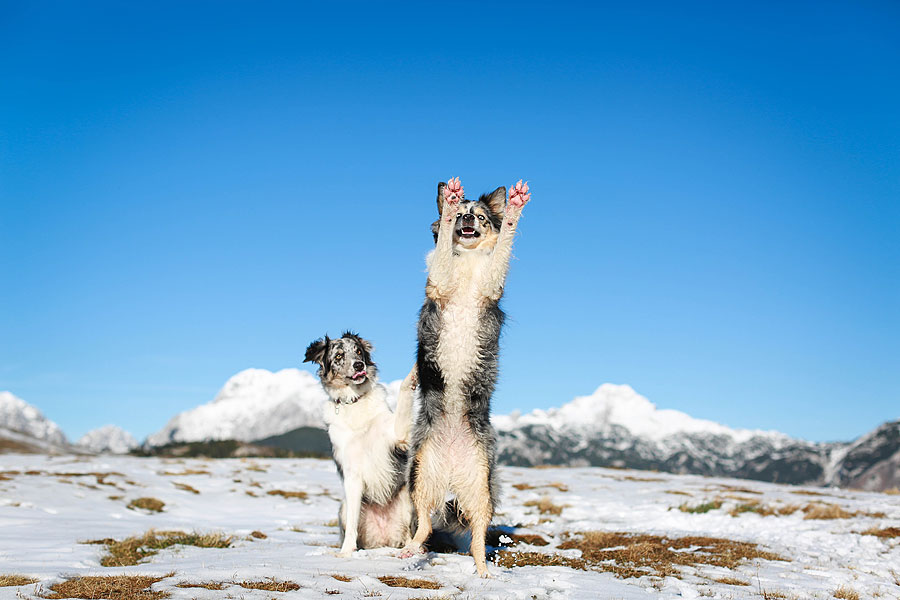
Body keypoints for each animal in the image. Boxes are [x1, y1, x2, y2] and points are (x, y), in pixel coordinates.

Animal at [300, 330, 416, 556]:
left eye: (359, 351)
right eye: (338, 355)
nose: (359, 365)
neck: (354, 401)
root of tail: (383, 538)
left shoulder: (397, 434)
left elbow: (404, 388)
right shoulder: (352, 474)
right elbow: (353, 522)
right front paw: (346, 552)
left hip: (407, 499)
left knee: (412, 534)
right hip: (343, 507)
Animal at [404, 177, 532, 576]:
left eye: (479, 216)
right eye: (462, 214)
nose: (465, 219)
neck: (470, 262)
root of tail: (451, 469)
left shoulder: (491, 284)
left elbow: (505, 244)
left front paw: (516, 208)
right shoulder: (440, 281)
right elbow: (443, 248)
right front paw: (447, 208)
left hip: (481, 490)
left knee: (476, 539)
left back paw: (484, 574)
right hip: (420, 478)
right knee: (424, 526)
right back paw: (408, 551)